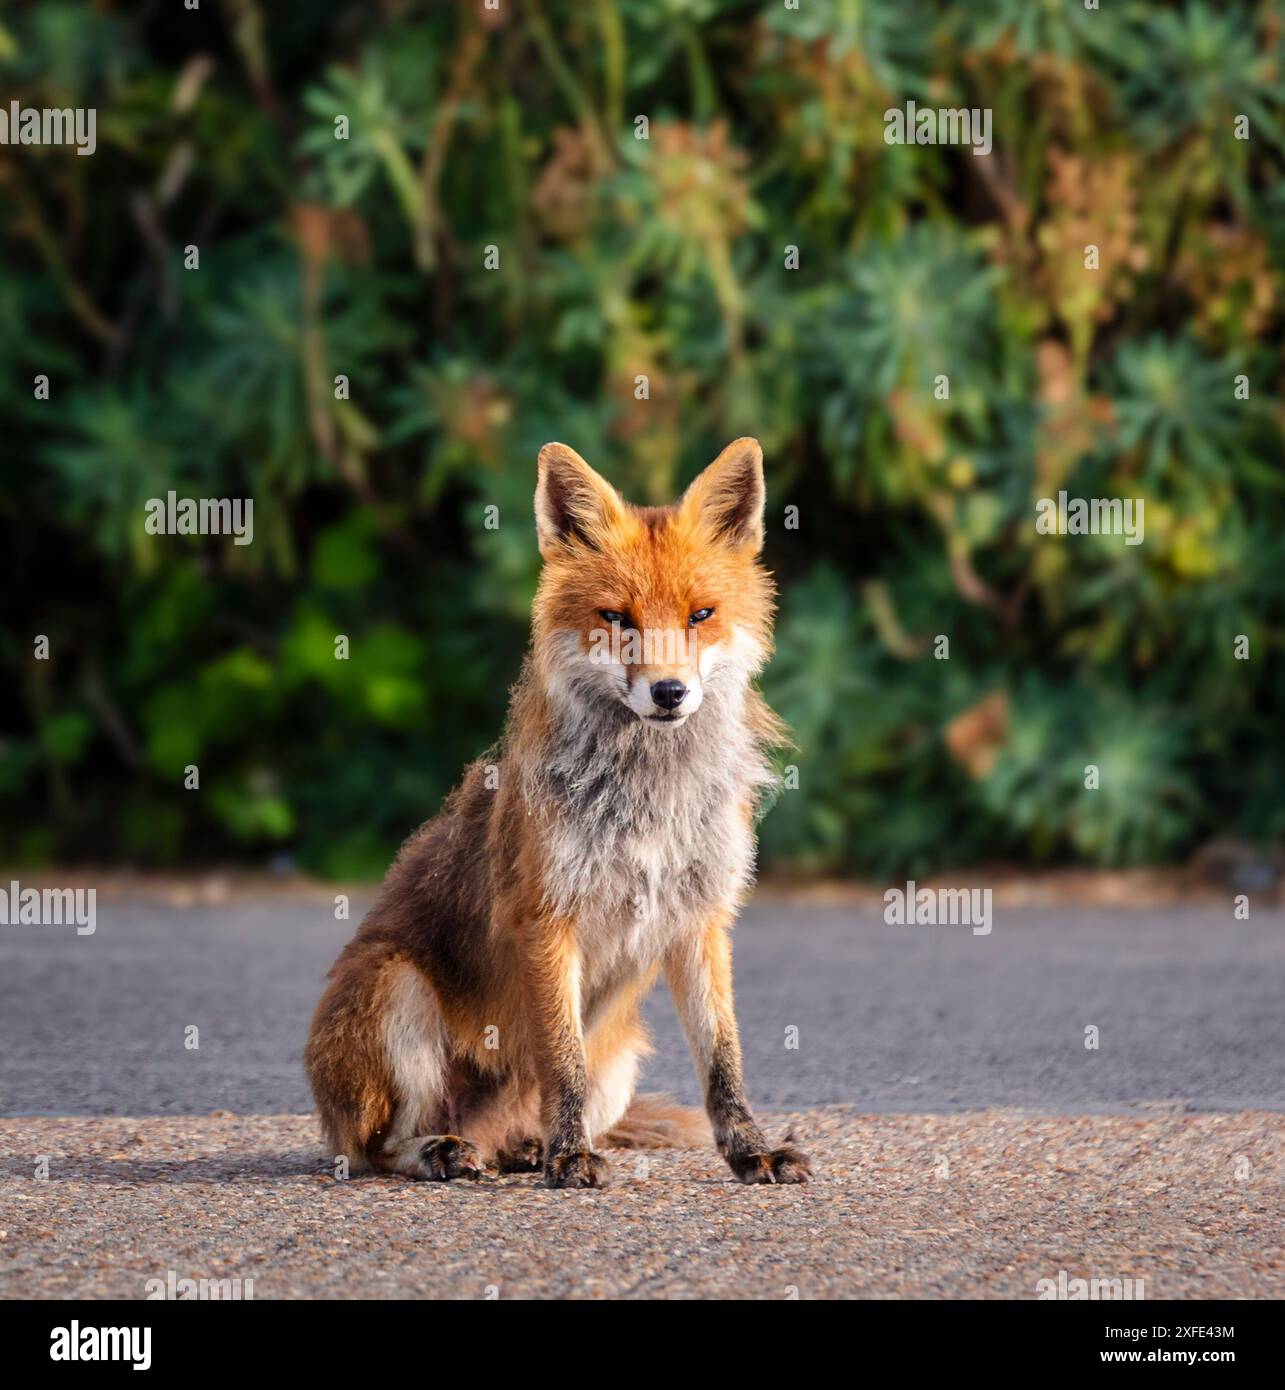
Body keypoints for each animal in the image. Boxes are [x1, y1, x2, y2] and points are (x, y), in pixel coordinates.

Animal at [304, 437, 811, 1188]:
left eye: (700, 615)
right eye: (616, 617)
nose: (668, 692)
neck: (647, 802)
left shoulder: (701, 918)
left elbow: (723, 1064)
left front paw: (751, 1150)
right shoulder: (546, 917)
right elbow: (560, 1061)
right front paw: (569, 1156)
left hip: (622, 1056)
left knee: (511, 1127)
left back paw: (517, 1149)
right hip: (396, 992)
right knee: (378, 1148)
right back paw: (449, 1151)